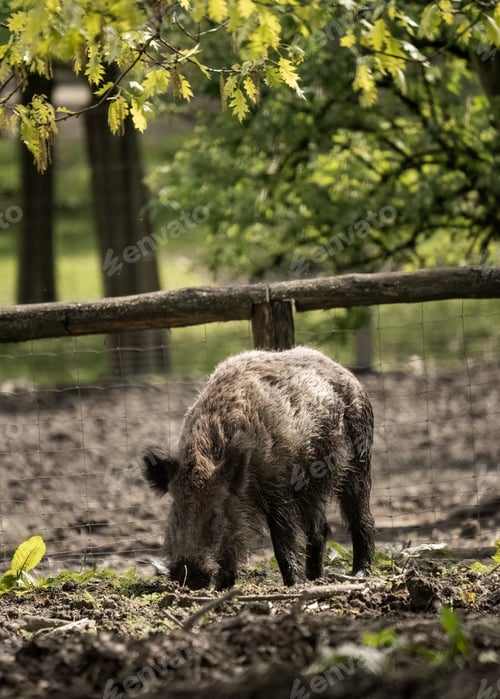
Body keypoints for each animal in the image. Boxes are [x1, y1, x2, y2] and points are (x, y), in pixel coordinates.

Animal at [142, 346, 375, 590]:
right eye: (176, 515)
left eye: (214, 515)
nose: (187, 575)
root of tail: (345, 371)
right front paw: (223, 588)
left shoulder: (279, 487)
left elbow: (282, 540)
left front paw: (293, 584)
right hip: (312, 488)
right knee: (320, 527)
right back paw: (315, 578)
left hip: (359, 458)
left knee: (360, 516)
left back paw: (358, 574)